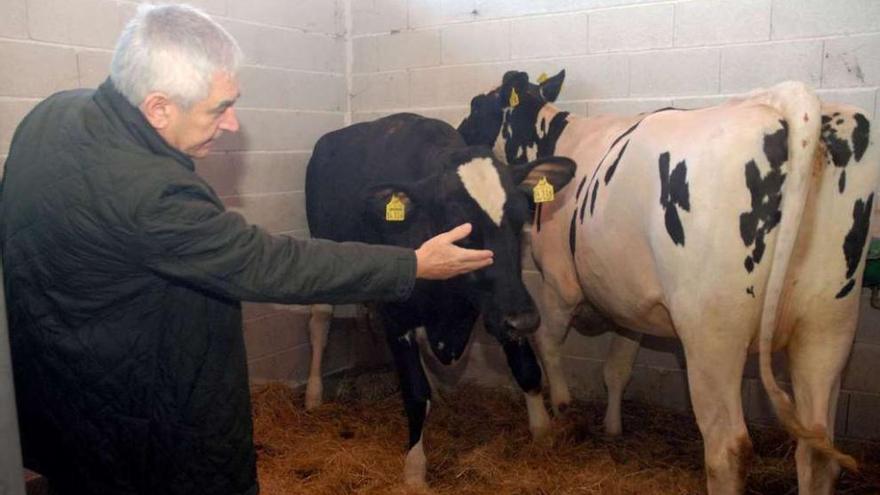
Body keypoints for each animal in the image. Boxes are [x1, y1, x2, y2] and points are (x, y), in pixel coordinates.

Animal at [304, 113, 576, 488]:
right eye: (459, 228)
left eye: (520, 217)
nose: (524, 321)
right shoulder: (397, 315)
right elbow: (415, 393)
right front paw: (415, 470)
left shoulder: (501, 302)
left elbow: (527, 368)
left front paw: (542, 432)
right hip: (323, 242)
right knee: (319, 320)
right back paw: (313, 393)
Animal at [460, 70, 880, 495]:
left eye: (478, 105)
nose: (459, 133)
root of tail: (791, 100)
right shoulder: (628, 302)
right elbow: (617, 369)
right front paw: (613, 428)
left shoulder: (560, 283)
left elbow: (547, 344)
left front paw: (561, 411)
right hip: (829, 325)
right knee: (817, 449)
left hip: (713, 335)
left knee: (728, 448)